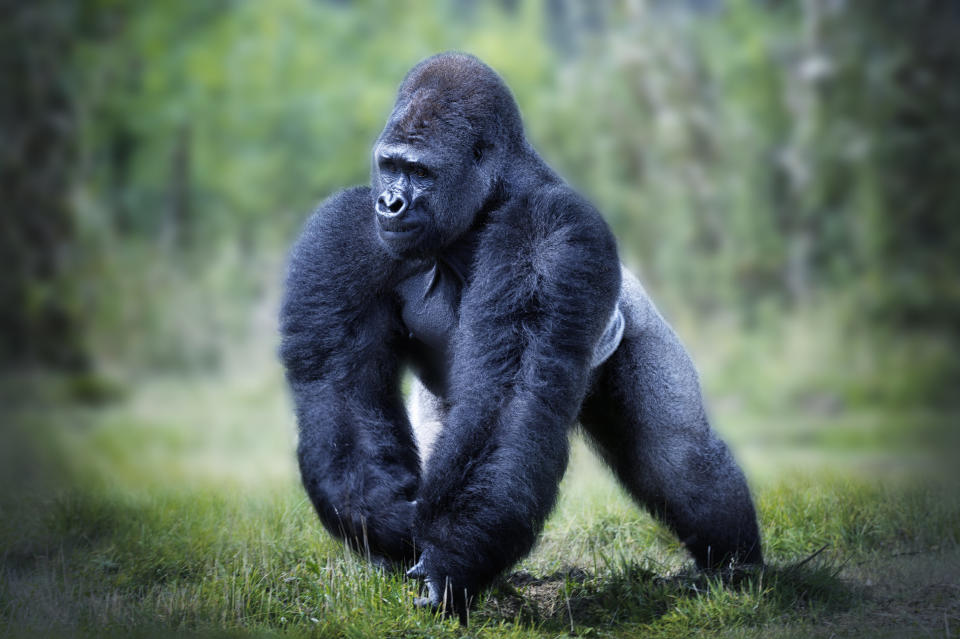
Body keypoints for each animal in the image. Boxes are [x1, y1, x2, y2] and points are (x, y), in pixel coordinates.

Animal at [280, 52, 764, 624]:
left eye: (420, 172)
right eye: (390, 165)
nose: (391, 203)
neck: (483, 206)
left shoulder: (549, 231)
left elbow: (513, 395)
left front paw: (451, 561)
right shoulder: (349, 232)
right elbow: (341, 389)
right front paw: (385, 522)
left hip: (637, 323)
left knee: (679, 456)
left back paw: (737, 569)